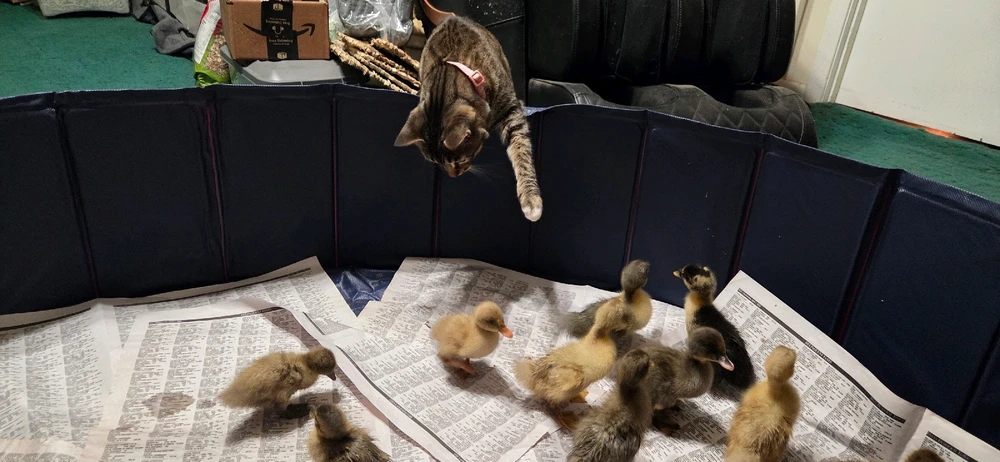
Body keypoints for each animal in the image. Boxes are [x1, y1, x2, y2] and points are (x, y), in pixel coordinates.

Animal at [393, 16, 543, 222]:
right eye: (436, 163)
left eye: (461, 159)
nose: (453, 176)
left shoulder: (511, 111)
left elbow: (521, 151)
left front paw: (530, 199)